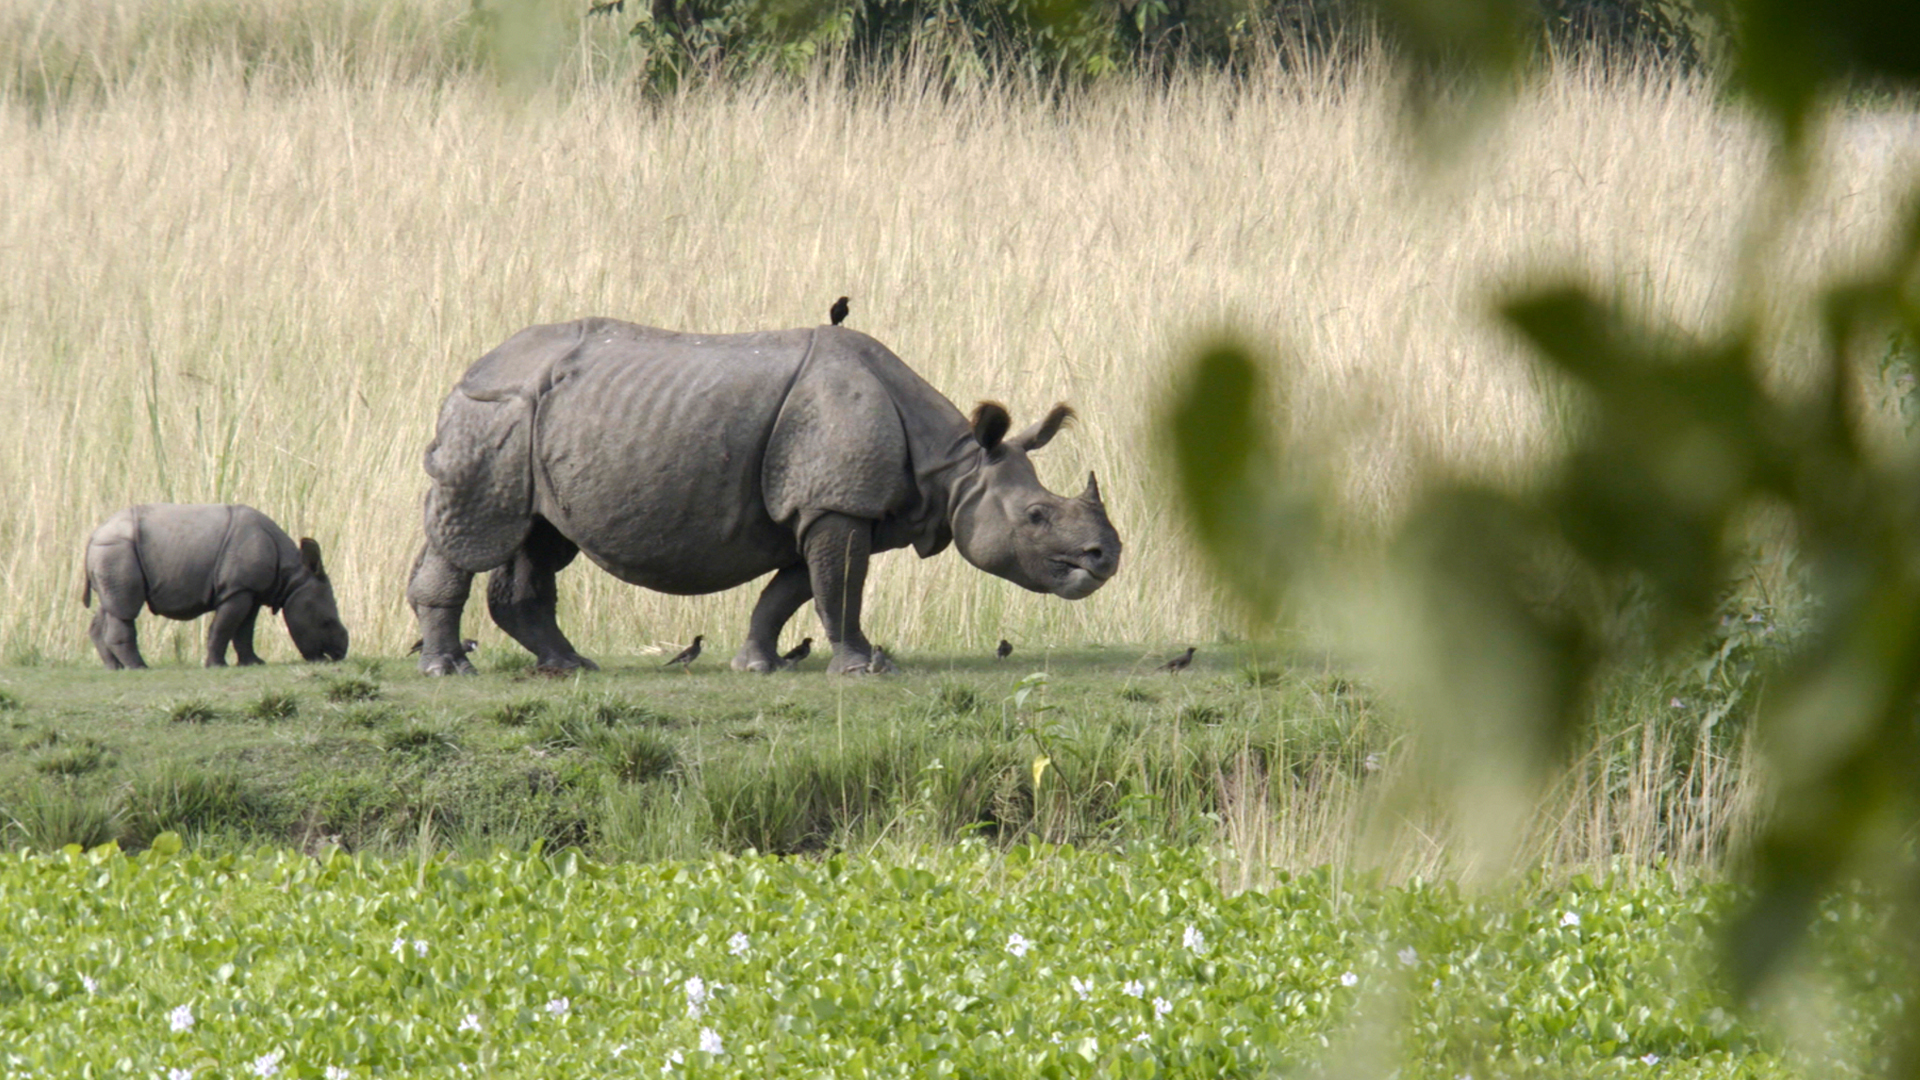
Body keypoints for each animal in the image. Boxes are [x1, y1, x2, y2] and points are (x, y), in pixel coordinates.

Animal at [82, 504, 350, 669]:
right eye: (326, 622)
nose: (338, 655)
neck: (291, 575)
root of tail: (93, 534)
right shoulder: (237, 589)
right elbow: (224, 627)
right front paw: (217, 665)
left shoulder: (250, 591)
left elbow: (244, 630)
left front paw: (253, 663)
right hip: (117, 549)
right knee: (125, 609)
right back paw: (139, 667)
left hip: (111, 552)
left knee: (111, 606)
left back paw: (115, 668)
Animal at [407, 319, 1122, 675]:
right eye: (1036, 517)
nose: (1104, 556)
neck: (953, 465)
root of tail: (468, 368)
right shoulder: (837, 504)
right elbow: (839, 588)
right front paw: (863, 669)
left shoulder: (826, 507)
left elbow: (793, 589)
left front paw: (756, 665)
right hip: (493, 413)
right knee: (473, 532)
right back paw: (449, 671)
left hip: (540, 423)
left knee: (539, 538)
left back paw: (568, 665)